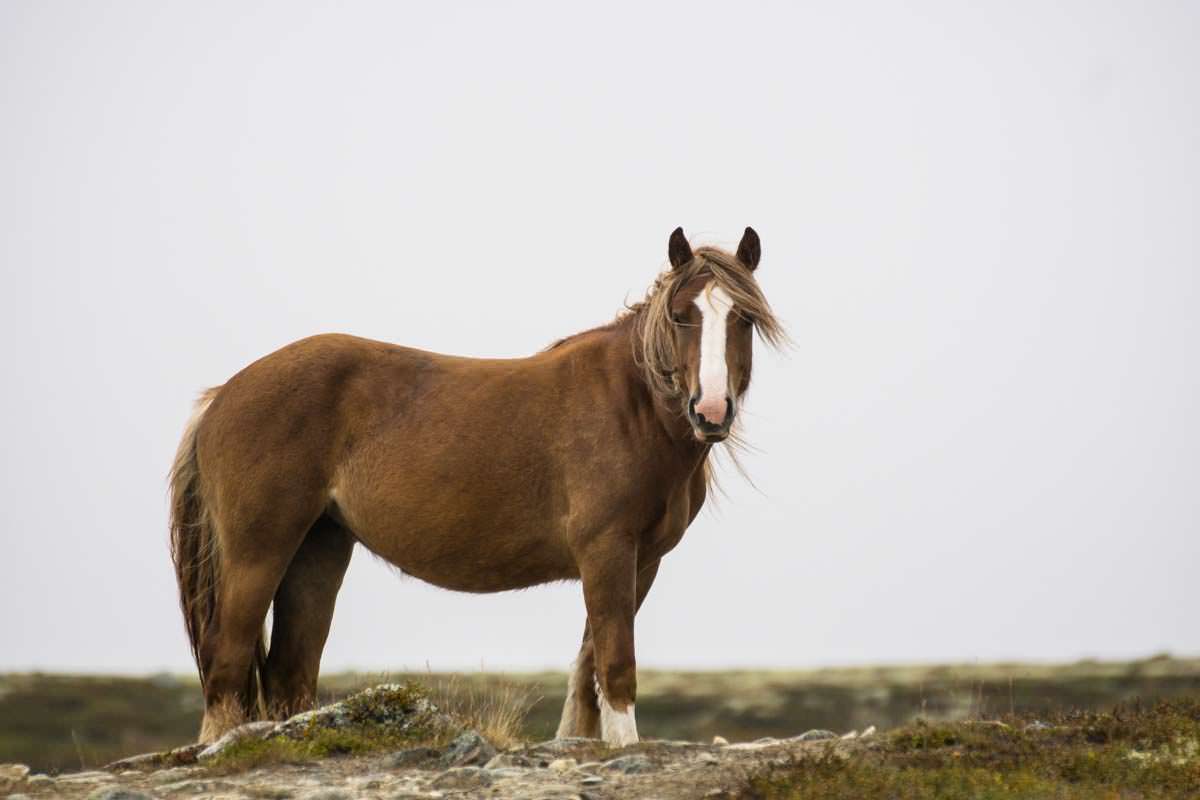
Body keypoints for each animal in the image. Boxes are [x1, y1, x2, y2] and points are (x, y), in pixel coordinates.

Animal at [171, 225, 787, 743]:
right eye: (682, 315)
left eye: (744, 319)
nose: (711, 411)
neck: (632, 406)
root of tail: (223, 394)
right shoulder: (607, 550)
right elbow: (616, 666)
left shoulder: (641, 560)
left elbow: (587, 670)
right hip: (257, 552)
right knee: (227, 665)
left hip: (318, 547)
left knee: (289, 673)